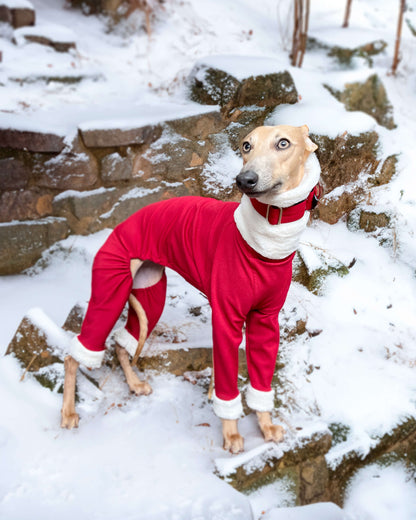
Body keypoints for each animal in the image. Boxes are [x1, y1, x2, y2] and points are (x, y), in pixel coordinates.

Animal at [61, 126, 318, 456]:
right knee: (75, 355)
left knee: (122, 343)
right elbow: (226, 386)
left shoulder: (266, 321)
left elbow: (261, 382)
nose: (244, 180)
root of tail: (126, 222)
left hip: (149, 294)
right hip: (110, 294)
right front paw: (232, 435)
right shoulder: (226, 320)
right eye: (246, 145)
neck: (265, 246)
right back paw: (68, 413)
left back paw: (134, 384)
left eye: (283, 143)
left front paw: (266, 426)